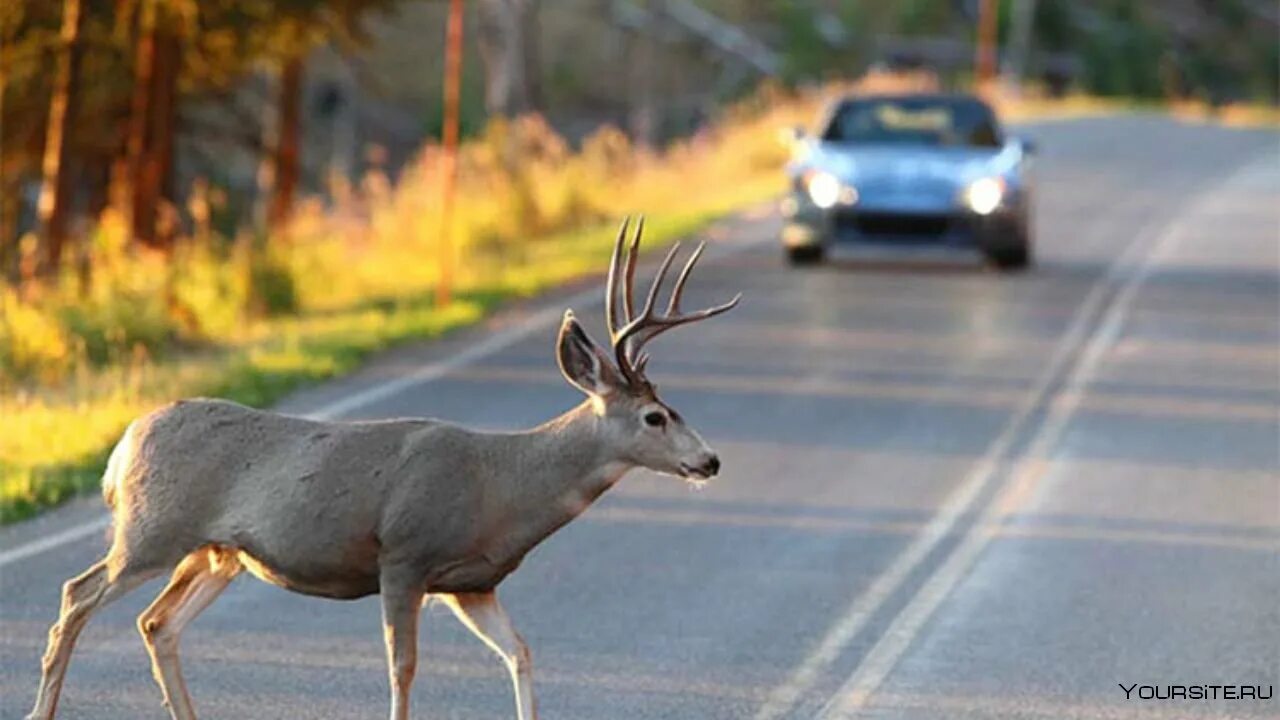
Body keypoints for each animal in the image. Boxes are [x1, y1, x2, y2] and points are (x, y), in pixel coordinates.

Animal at [27, 217, 742, 717]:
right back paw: (43, 709)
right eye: (656, 417)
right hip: (153, 528)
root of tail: (122, 447)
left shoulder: (472, 582)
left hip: (216, 552)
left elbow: (520, 652)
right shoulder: (404, 555)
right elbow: (403, 668)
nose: (709, 460)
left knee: (156, 622)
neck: (501, 485)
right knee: (76, 595)